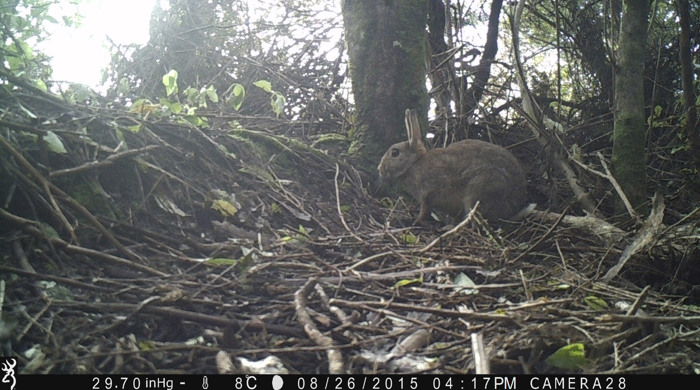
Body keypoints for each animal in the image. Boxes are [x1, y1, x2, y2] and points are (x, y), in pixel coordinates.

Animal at [378, 108, 524, 224]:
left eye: (394, 152)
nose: (380, 169)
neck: (414, 164)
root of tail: (516, 202)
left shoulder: (427, 193)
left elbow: (424, 210)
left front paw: (416, 221)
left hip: (479, 190)